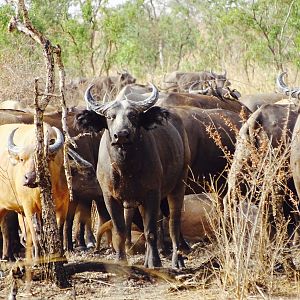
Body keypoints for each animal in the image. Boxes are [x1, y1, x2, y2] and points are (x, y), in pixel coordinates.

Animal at [77, 84, 190, 268]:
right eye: (110, 116)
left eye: (133, 115)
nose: (122, 135)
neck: (126, 169)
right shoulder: (110, 198)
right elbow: (120, 229)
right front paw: (121, 260)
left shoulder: (152, 193)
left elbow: (151, 230)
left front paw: (155, 262)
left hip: (178, 184)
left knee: (173, 223)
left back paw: (177, 260)